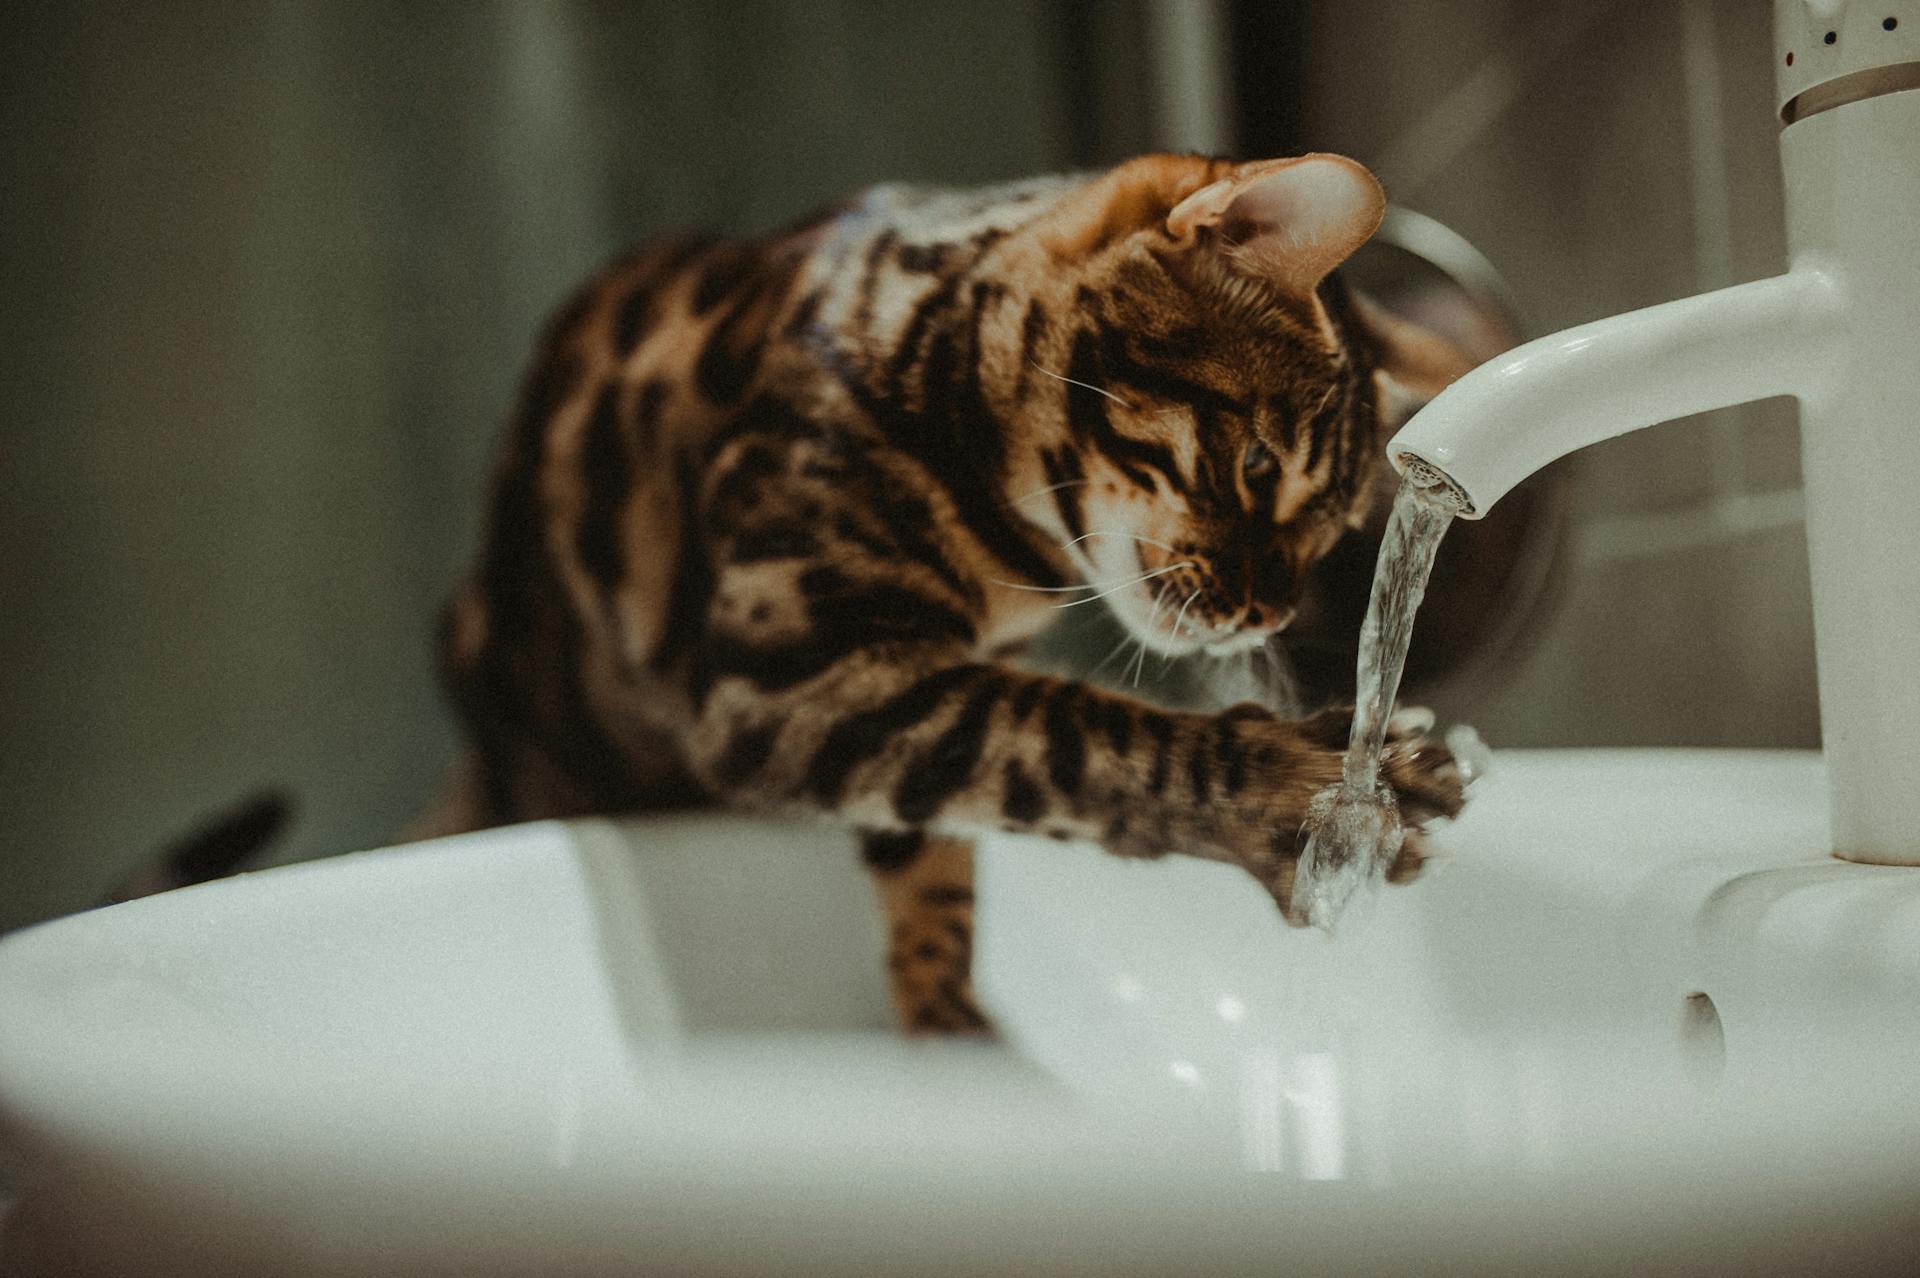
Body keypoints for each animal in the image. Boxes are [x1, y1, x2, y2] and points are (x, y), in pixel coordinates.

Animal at [435, 151, 1466, 1028]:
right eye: (1258, 467)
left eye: (1334, 529)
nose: (1270, 613)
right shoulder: (793, 670)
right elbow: (1071, 738)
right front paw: (1311, 794)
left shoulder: (899, 693)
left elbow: (937, 835)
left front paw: (943, 1016)